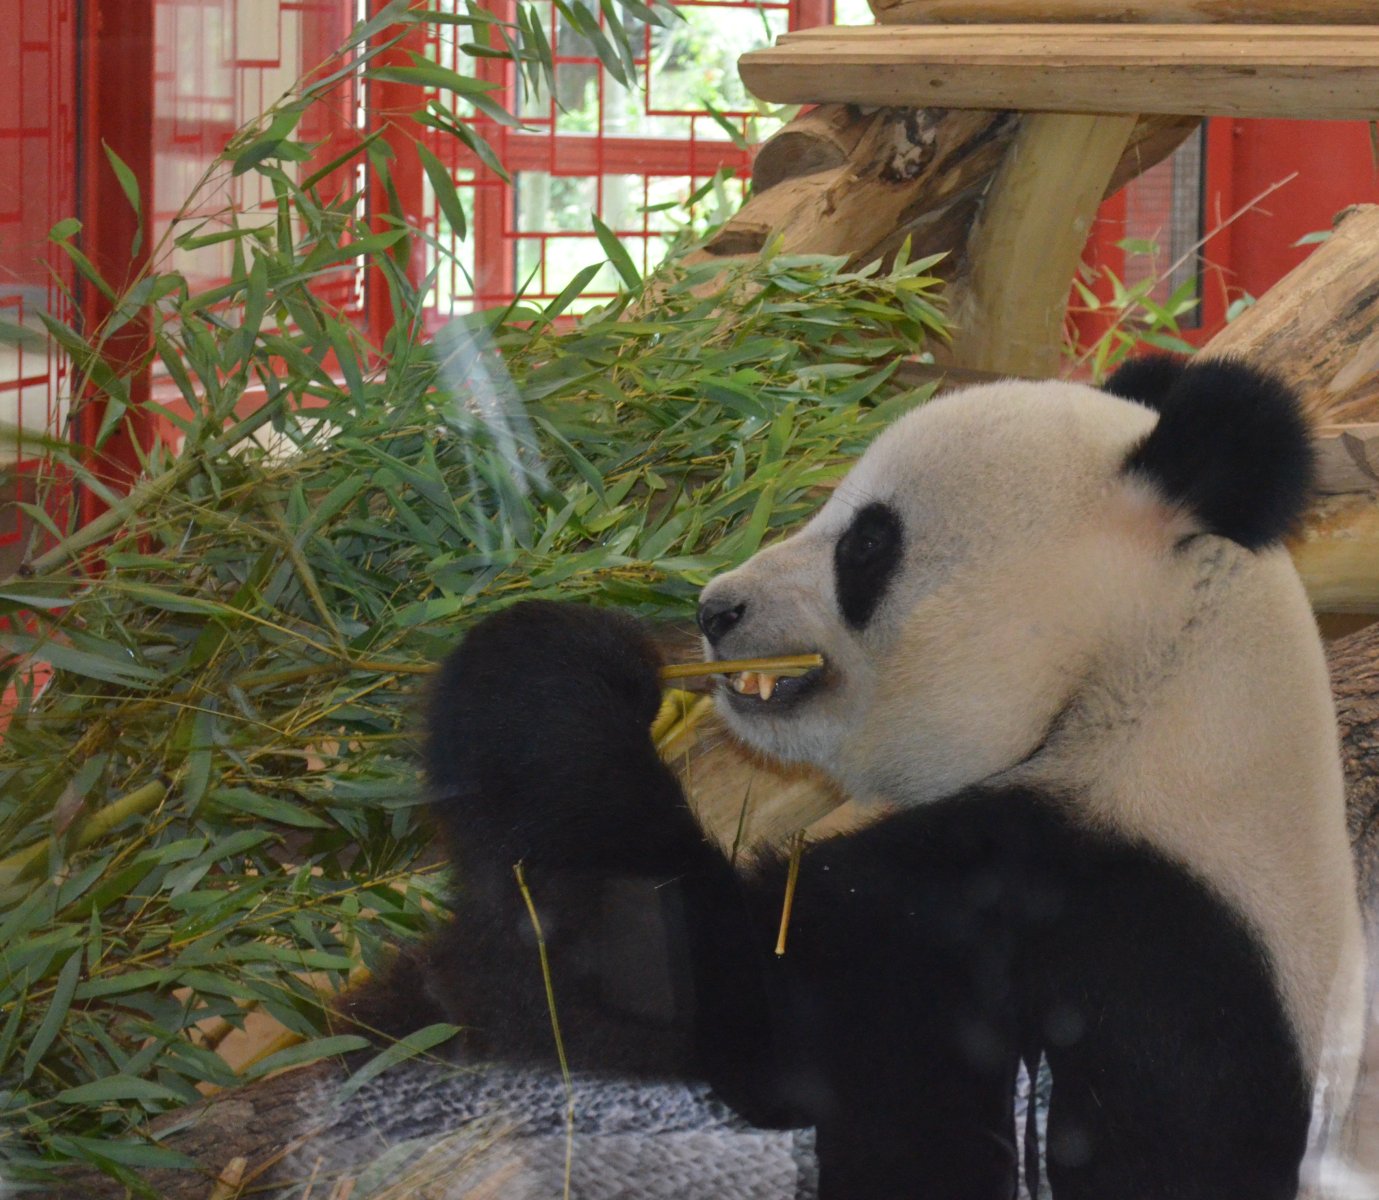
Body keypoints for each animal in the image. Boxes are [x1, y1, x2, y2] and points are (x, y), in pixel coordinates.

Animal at [343, 355, 1367, 1200]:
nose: (714, 610)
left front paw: (558, 661)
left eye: (866, 545)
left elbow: (711, 990)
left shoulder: (1079, 904)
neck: (1145, 687)